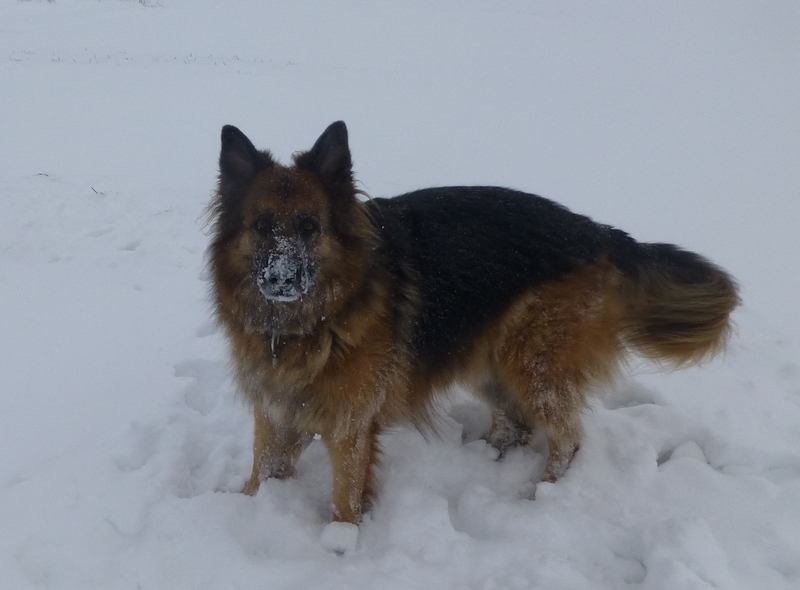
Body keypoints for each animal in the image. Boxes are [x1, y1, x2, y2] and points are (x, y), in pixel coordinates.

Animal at [209, 121, 740, 528]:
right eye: (261, 226)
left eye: (309, 227)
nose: (280, 279)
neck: (308, 323)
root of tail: (601, 232)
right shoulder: (276, 410)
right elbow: (263, 471)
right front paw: (244, 511)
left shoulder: (349, 425)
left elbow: (345, 498)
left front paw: (342, 544)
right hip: (490, 360)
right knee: (517, 424)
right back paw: (490, 456)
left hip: (532, 363)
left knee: (566, 437)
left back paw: (539, 497)